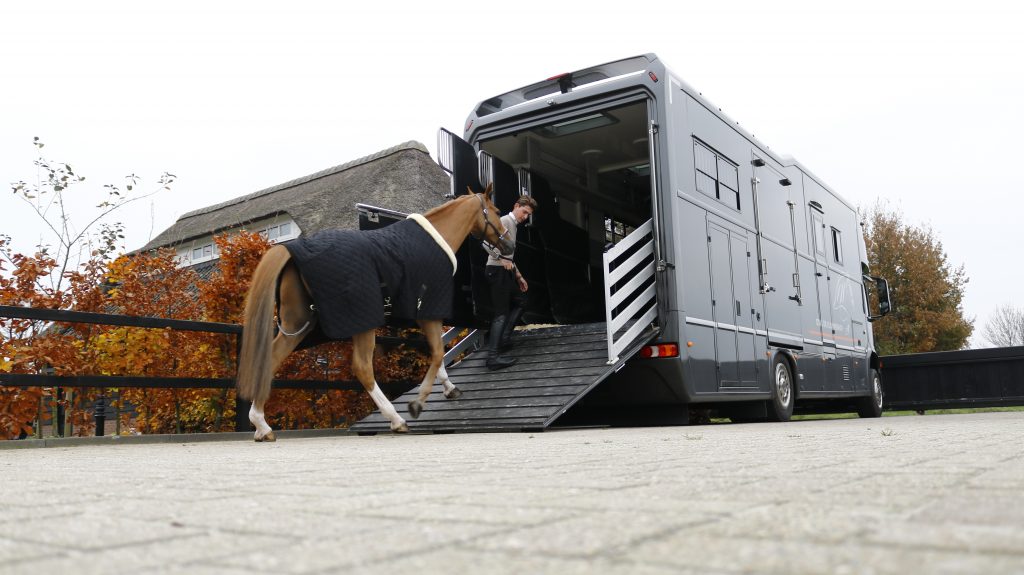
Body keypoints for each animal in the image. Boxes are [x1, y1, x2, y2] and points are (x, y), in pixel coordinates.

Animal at [236, 184, 516, 437]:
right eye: (496, 211)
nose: (510, 245)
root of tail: (291, 250)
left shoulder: (422, 317)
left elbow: (438, 356)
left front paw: (449, 388)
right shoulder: (429, 313)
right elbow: (438, 354)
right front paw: (417, 403)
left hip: (298, 325)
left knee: (270, 359)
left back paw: (261, 426)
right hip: (361, 323)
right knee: (362, 367)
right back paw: (396, 419)